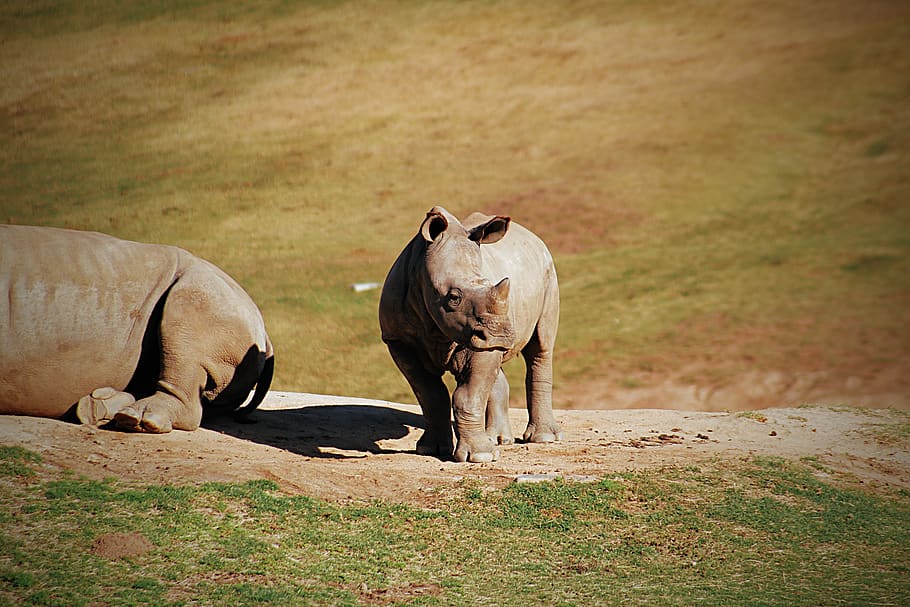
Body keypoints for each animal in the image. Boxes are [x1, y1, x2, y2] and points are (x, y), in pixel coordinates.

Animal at [379, 206, 562, 462]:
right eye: (454, 297)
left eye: (490, 282)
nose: (501, 335)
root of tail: (534, 237)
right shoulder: (398, 339)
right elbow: (430, 394)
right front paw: (430, 450)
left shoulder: (480, 334)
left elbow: (468, 394)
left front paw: (480, 457)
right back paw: (498, 440)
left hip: (548, 273)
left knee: (541, 348)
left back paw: (542, 439)